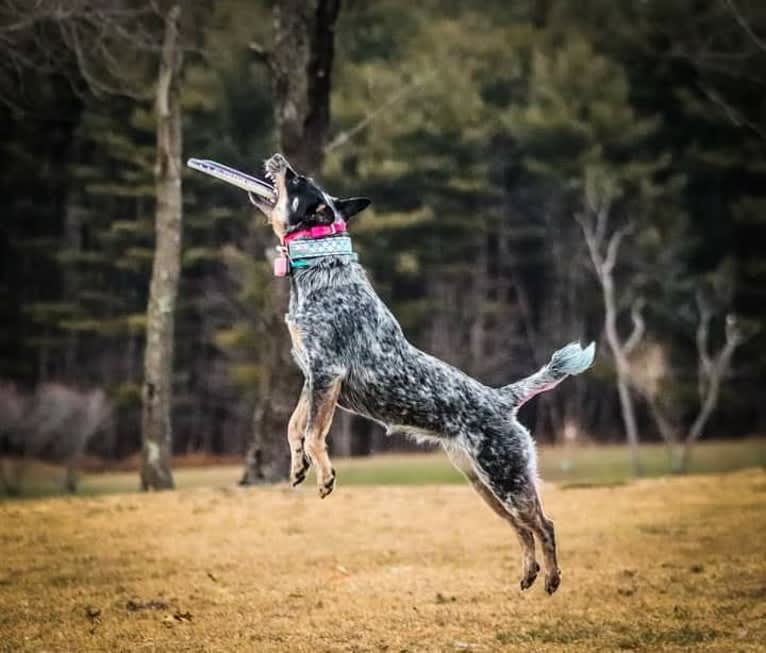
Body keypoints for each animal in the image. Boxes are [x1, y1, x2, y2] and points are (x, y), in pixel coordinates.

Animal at [249, 153, 596, 592]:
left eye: (296, 180)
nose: (277, 158)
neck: (321, 266)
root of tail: (502, 398)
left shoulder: (327, 371)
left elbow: (314, 433)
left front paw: (324, 475)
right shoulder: (311, 376)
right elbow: (296, 427)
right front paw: (298, 466)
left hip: (506, 478)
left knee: (544, 524)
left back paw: (551, 578)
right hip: (482, 483)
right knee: (522, 529)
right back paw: (529, 572)